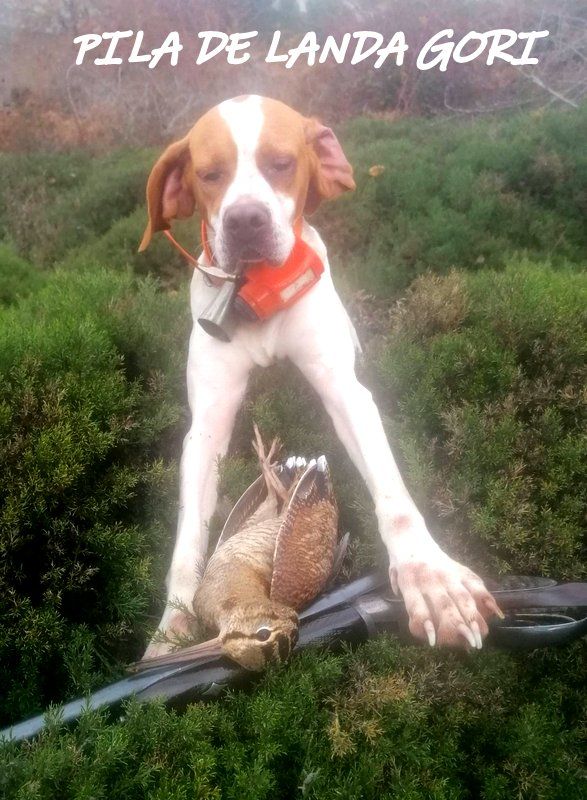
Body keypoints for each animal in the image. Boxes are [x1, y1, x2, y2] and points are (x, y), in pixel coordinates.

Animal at [140, 95, 504, 656]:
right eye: (209, 173)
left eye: (282, 163)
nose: (246, 220)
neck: (256, 296)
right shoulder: (206, 428)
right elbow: (187, 544)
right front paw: (172, 633)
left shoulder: (346, 393)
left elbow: (394, 495)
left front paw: (431, 576)